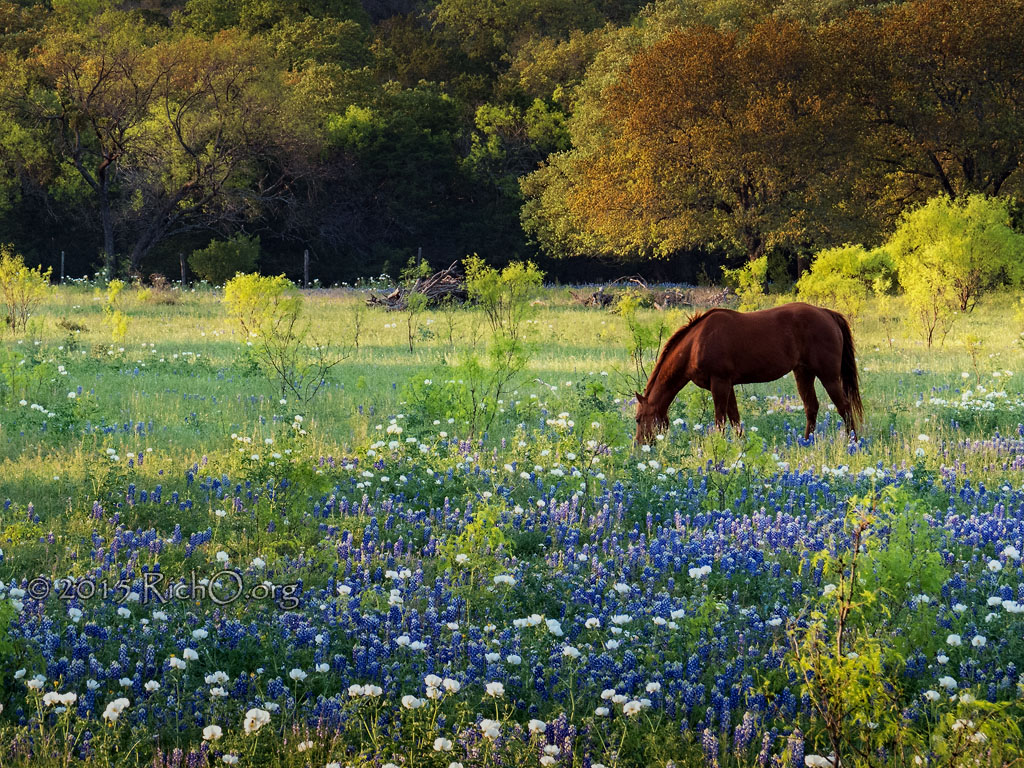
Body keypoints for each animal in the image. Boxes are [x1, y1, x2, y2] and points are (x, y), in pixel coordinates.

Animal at [634, 303, 860, 442]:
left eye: (637, 419)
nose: (638, 446)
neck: (696, 343)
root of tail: (826, 313)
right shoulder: (727, 384)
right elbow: (734, 418)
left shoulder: (720, 383)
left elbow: (720, 421)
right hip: (803, 373)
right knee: (811, 407)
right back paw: (806, 444)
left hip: (828, 376)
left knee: (845, 408)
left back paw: (854, 444)